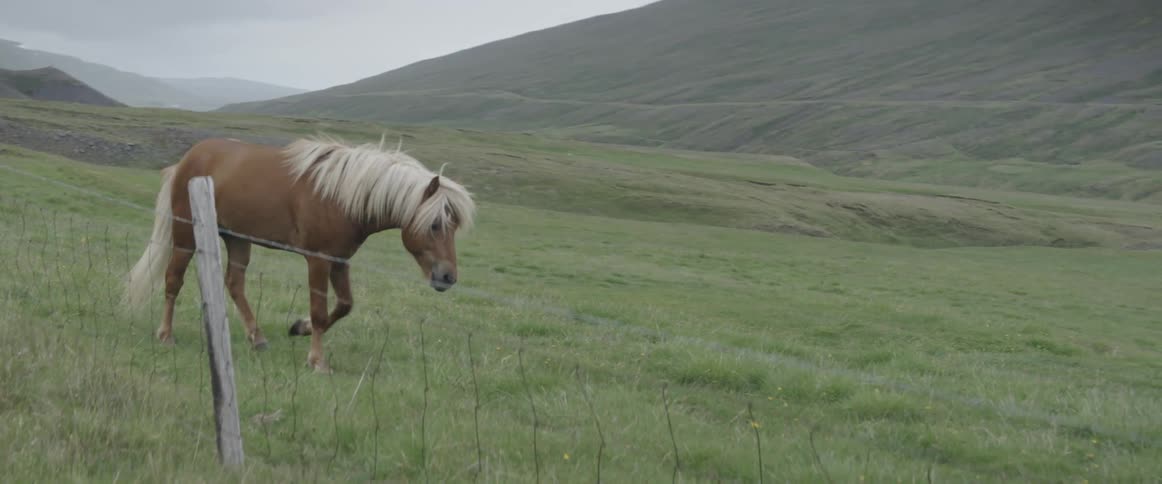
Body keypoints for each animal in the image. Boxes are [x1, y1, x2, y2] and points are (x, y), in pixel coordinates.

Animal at [121, 135, 476, 372]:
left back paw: (257, 337)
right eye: (435, 224)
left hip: (237, 239)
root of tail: (188, 159)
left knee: (235, 284)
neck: (340, 195)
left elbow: (344, 306)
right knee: (173, 280)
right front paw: (317, 360)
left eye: (454, 226)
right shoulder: (318, 260)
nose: (448, 276)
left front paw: (298, 328)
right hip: (186, 236)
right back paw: (166, 335)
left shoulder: (340, 261)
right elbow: (320, 311)